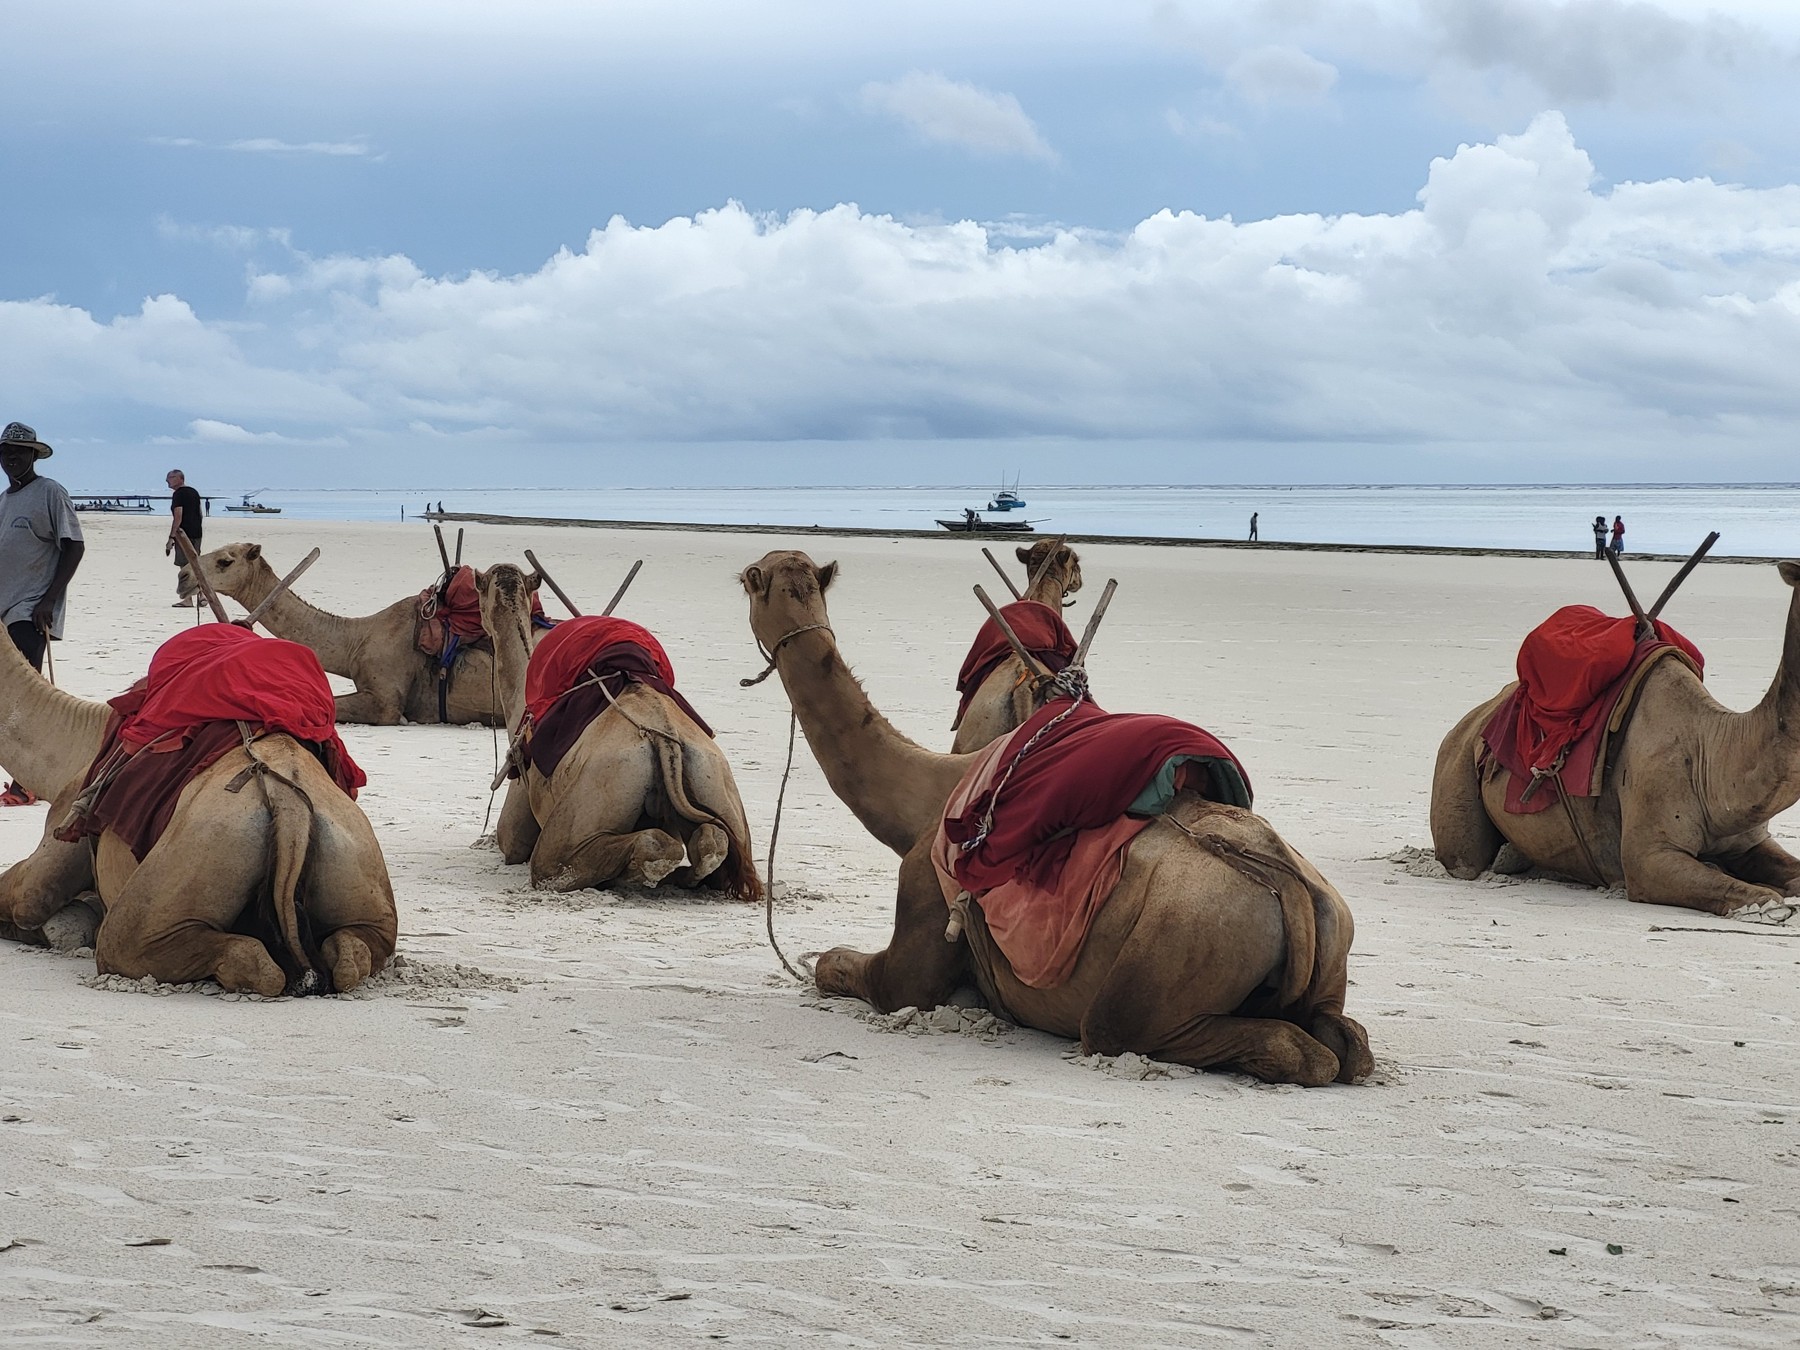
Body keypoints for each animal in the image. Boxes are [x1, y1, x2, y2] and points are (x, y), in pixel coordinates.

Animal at [475, 563, 761, 898]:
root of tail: (665, 743)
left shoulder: (519, 801)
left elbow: (510, 841)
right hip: (717, 782)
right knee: (713, 842)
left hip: (599, 790)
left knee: (557, 864)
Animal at [1431, 560, 1800, 916]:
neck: (1711, 758)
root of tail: (1464, 724)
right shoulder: (1649, 858)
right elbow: (1764, 897)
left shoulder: (1750, 842)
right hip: (1457, 780)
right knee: (1466, 860)